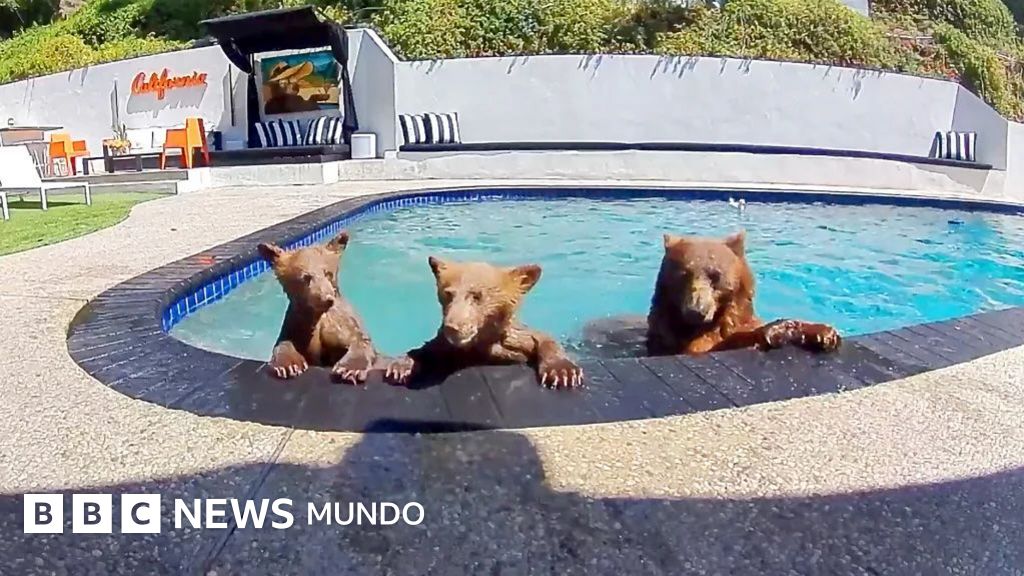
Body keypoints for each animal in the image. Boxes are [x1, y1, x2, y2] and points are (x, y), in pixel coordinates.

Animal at [257, 230, 377, 384]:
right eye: (306, 277)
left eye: (328, 273)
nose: (327, 298)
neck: (317, 314)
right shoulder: (297, 323)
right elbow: (285, 342)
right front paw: (289, 365)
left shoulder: (341, 321)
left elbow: (359, 339)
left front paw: (350, 369)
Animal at [384, 257, 584, 388]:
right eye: (448, 294)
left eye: (477, 296)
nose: (452, 327)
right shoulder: (449, 345)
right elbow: (428, 348)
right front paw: (401, 366)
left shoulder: (512, 338)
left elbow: (540, 338)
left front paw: (563, 372)